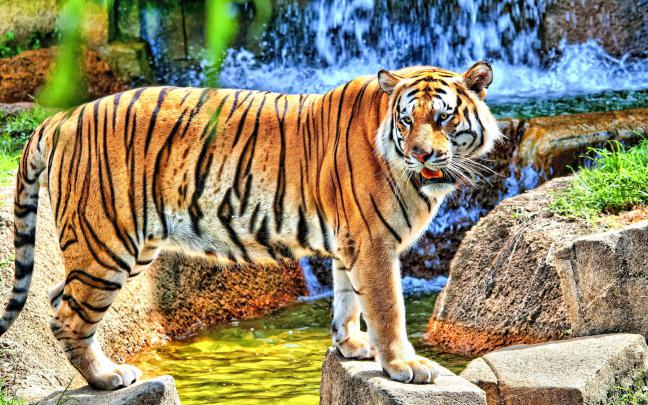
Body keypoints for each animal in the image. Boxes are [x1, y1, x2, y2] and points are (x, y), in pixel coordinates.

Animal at [0, 62, 500, 389]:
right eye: (407, 120)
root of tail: (62, 116)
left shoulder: (350, 241)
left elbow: (346, 299)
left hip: (120, 247)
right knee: (68, 318)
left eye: (443, 118)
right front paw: (403, 365)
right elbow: (387, 307)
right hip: (107, 244)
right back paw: (109, 377)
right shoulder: (372, 242)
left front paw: (352, 346)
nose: (420, 153)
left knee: (57, 297)